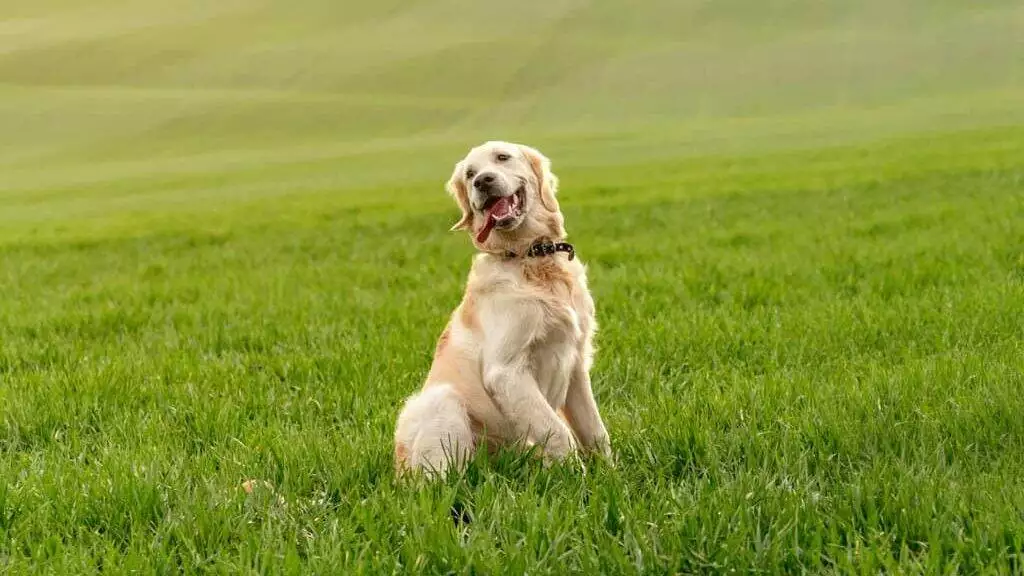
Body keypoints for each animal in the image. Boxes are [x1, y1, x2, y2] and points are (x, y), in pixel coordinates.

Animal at [393, 140, 610, 475]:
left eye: (502, 157)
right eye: (469, 174)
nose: (483, 181)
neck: (531, 256)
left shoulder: (575, 364)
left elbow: (596, 431)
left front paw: (613, 474)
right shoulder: (506, 370)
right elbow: (558, 432)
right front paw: (578, 478)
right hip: (442, 400)